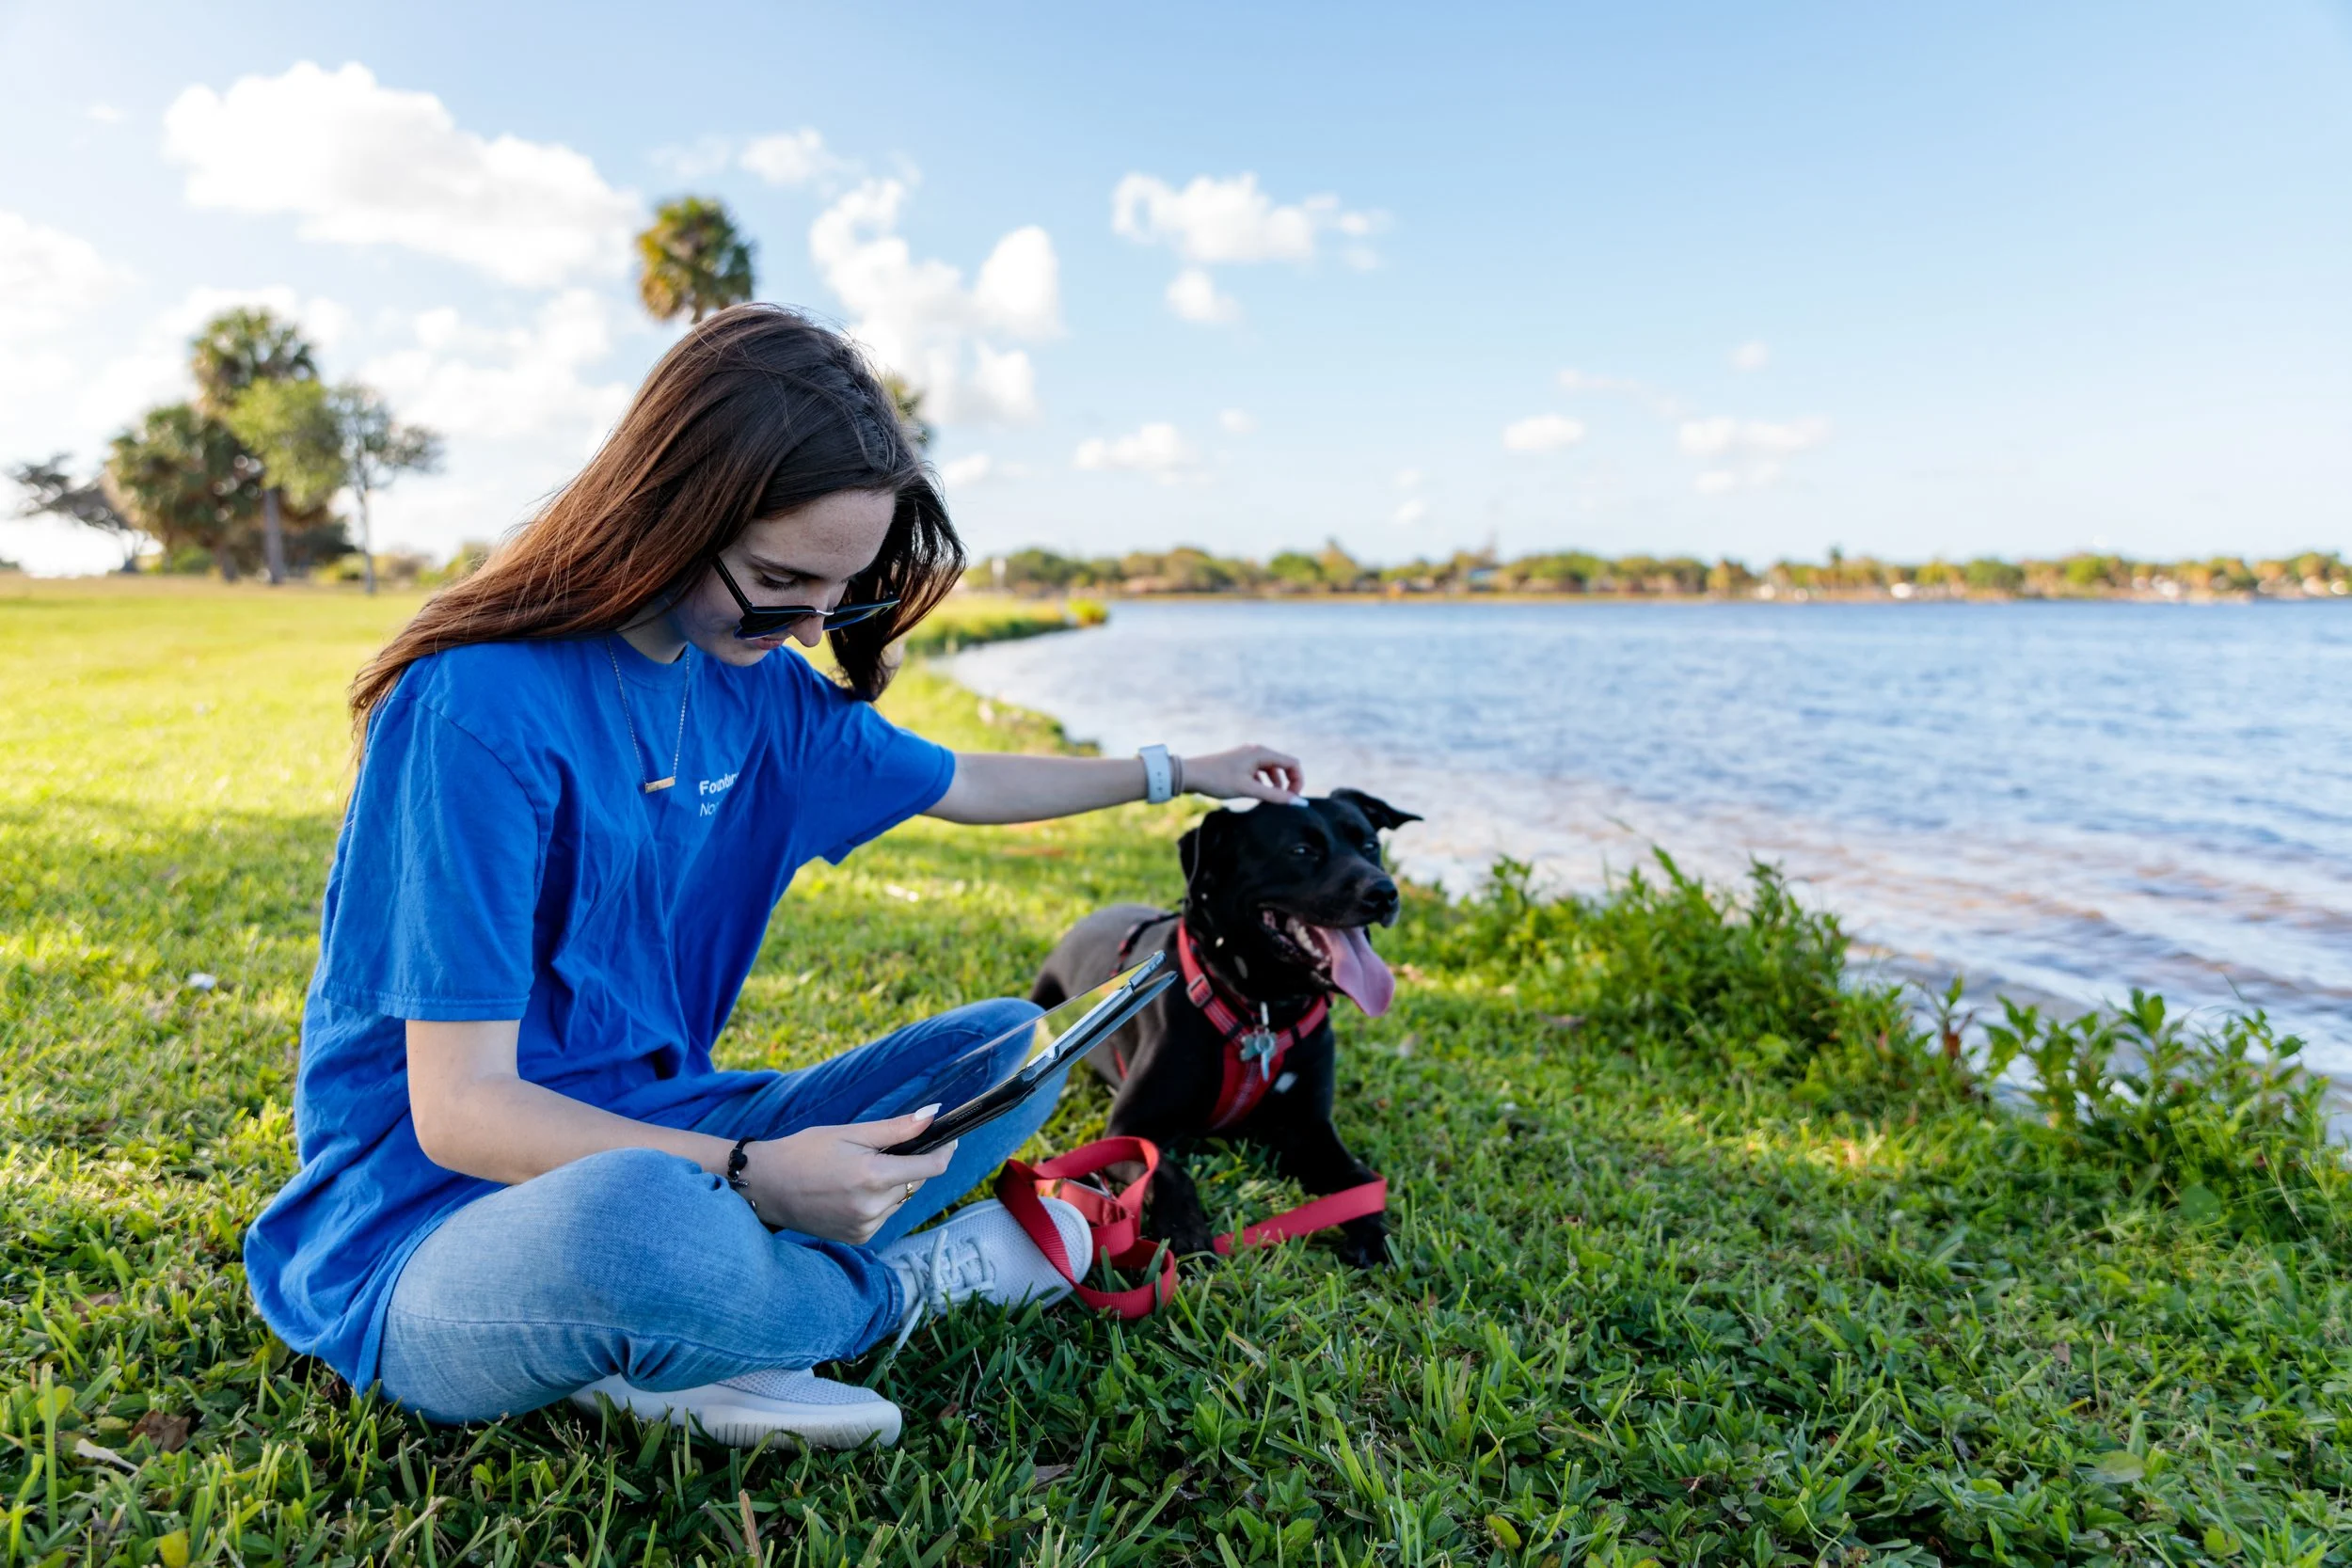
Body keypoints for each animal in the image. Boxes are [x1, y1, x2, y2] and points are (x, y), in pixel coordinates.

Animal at [1030, 788, 1420, 1267]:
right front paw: (1187, 1235)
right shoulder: (1127, 1129)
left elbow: (1357, 1176)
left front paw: (1374, 1234)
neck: (1260, 1010)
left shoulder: (1309, 1128)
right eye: (1301, 851)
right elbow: (1169, 1171)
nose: (1385, 893)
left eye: (1370, 845)